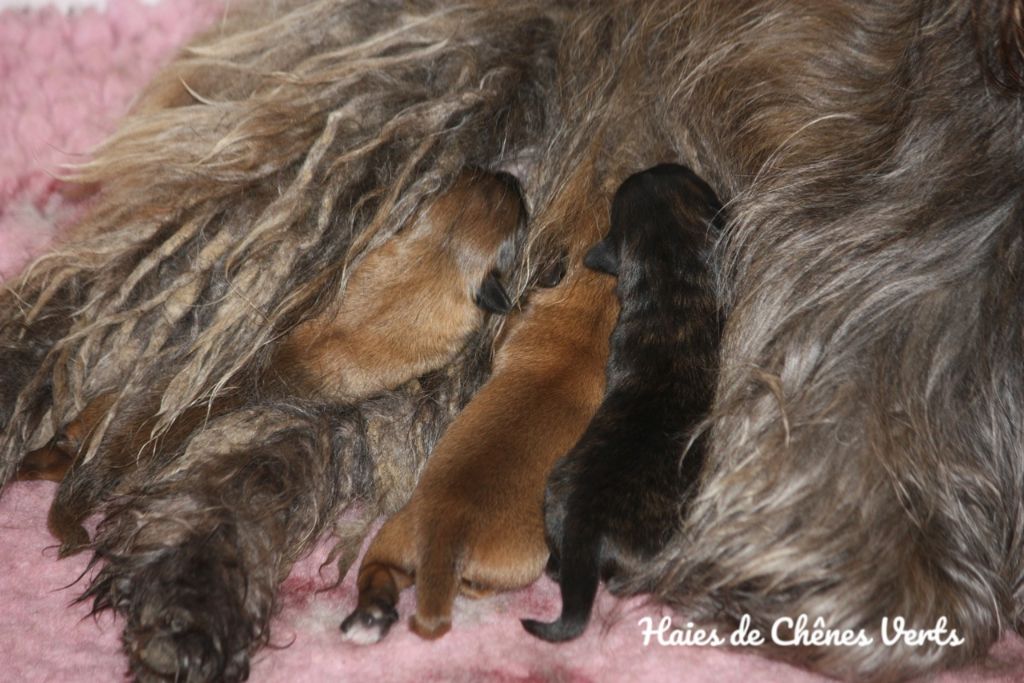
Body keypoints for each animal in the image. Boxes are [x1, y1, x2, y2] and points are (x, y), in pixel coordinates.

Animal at [342, 264, 614, 643]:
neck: (585, 315)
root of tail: (444, 539)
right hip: (522, 562)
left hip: (391, 539)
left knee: (377, 572)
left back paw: (372, 614)